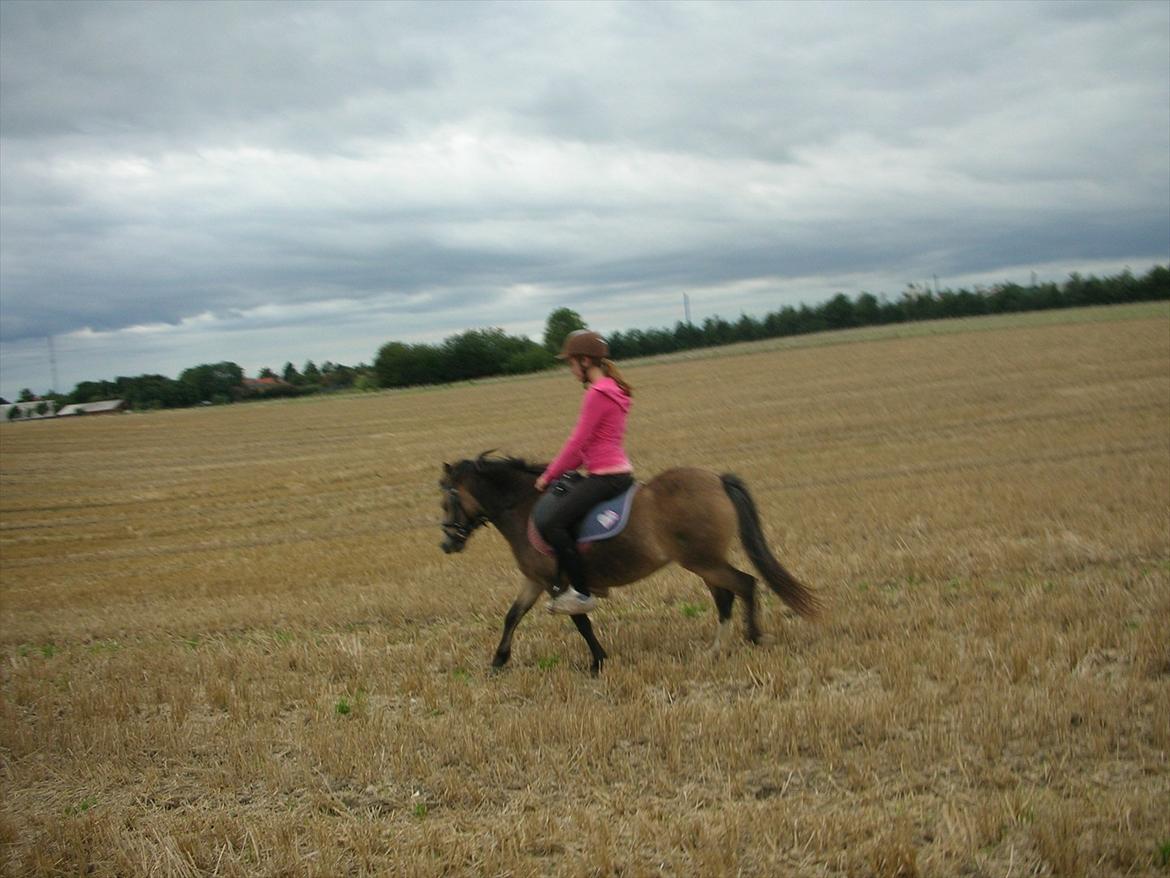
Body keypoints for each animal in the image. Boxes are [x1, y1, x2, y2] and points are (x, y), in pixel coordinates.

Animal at [439, 453, 820, 674]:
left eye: (445, 500)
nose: (447, 543)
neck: (523, 508)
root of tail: (716, 480)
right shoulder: (534, 580)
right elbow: (512, 616)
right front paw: (498, 661)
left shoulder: (555, 582)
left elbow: (581, 622)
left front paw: (597, 661)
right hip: (704, 561)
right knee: (725, 595)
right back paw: (715, 649)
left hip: (702, 560)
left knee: (744, 584)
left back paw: (752, 637)